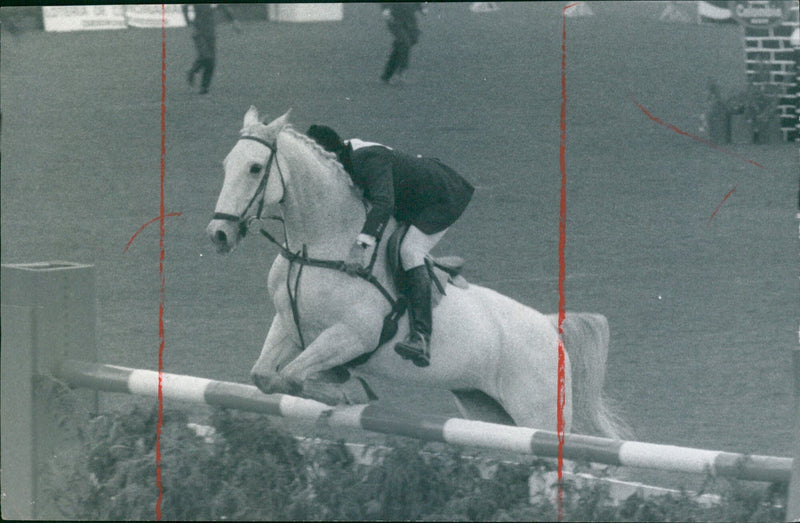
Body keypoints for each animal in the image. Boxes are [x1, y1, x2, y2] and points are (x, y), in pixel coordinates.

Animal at [208, 109, 632, 438]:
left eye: (255, 168)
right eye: (226, 165)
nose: (218, 235)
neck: (319, 248)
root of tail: (548, 327)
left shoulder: (352, 335)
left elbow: (294, 377)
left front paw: (347, 391)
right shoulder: (289, 323)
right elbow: (266, 375)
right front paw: (340, 385)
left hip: (538, 415)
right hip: (485, 408)